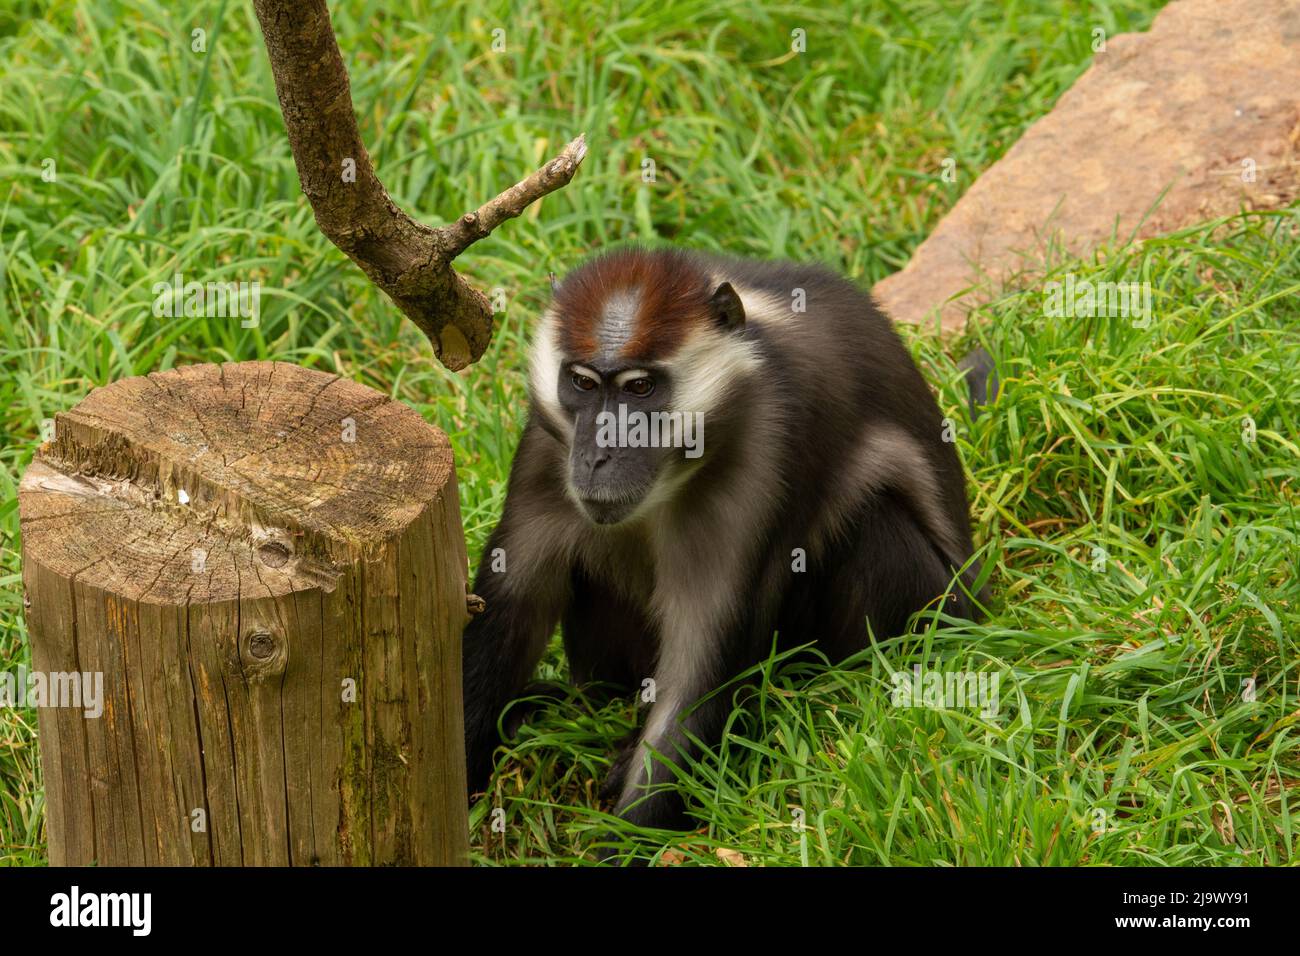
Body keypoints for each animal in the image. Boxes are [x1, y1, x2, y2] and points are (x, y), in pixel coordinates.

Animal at [457, 247, 982, 842]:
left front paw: (627, 841)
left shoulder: (766, 447)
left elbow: (699, 668)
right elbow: (511, 609)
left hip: (939, 606)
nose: (597, 456)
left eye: (640, 389)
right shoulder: (550, 447)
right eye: (585, 384)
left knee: (875, 522)